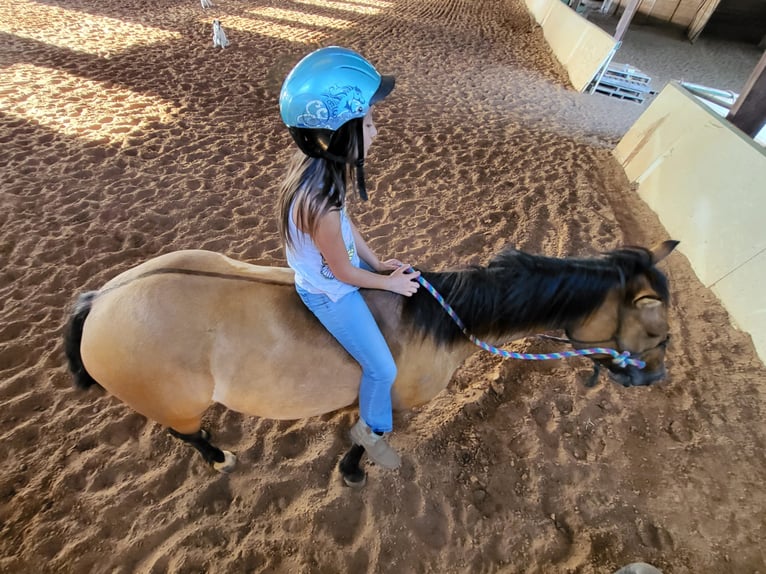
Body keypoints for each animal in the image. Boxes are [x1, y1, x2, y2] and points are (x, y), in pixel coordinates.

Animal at [64, 241, 680, 488]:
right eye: (657, 332)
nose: (654, 377)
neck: (437, 319)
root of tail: (100, 301)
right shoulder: (395, 400)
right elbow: (372, 434)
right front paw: (355, 471)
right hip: (177, 404)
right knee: (186, 434)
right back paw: (220, 457)